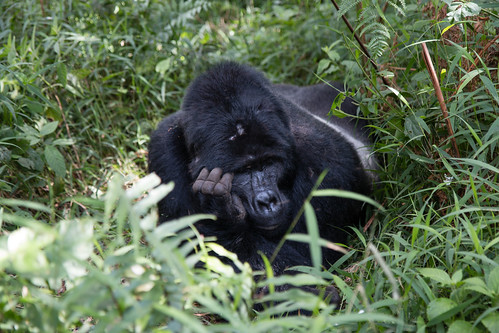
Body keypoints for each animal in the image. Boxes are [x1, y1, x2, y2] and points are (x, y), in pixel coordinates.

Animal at [148, 61, 376, 292]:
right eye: (243, 170)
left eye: (268, 164)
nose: (267, 201)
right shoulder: (163, 150)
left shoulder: (328, 163)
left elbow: (311, 259)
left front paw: (223, 212)